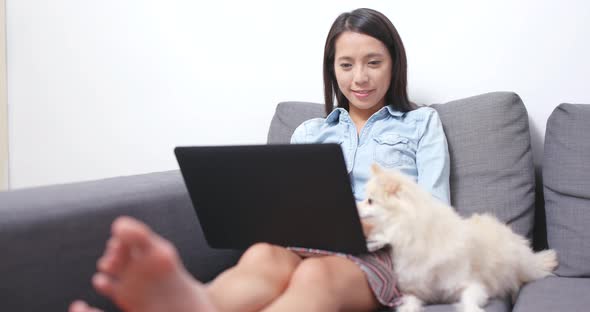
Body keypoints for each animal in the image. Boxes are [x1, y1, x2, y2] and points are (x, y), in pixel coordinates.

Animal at [360, 165, 560, 310]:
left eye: (369, 201)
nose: (356, 203)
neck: (411, 239)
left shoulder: (471, 285)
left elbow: (469, 301)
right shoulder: (411, 292)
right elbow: (408, 305)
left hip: (518, 264)